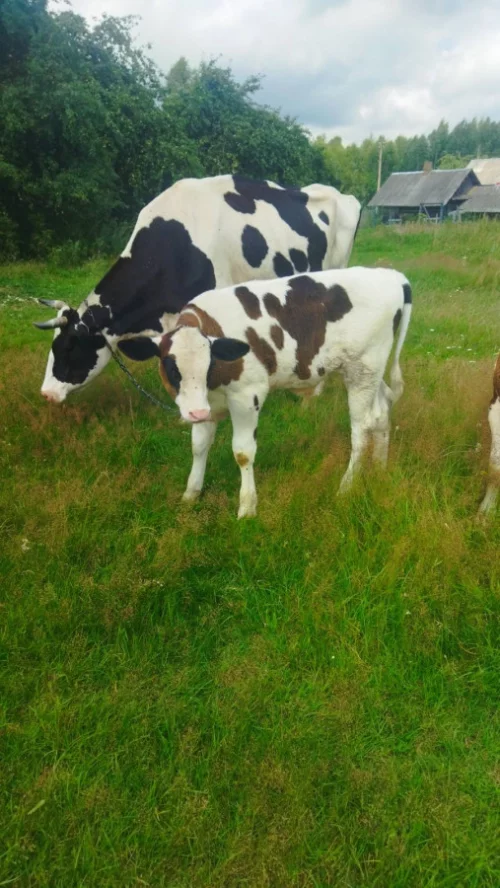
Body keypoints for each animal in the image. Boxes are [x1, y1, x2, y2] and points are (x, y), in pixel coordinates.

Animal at [151, 267, 412, 518]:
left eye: (209, 364)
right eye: (172, 369)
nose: (194, 413)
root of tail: (392, 276)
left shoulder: (247, 395)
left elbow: (243, 452)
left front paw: (247, 508)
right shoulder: (208, 405)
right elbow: (199, 445)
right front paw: (191, 494)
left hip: (363, 369)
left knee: (362, 429)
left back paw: (346, 487)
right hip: (369, 372)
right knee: (381, 413)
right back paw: (379, 469)